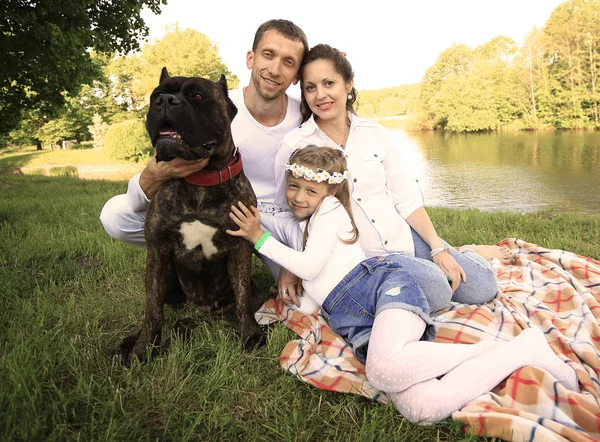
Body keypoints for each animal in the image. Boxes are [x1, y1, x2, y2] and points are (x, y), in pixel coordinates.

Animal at [116, 68, 264, 366]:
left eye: (198, 96)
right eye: (156, 94)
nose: (165, 101)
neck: (199, 180)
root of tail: (200, 309)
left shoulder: (240, 249)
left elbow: (243, 299)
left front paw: (250, 334)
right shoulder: (158, 251)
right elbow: (152, 309)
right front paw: (143, 347)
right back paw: (131, 342)